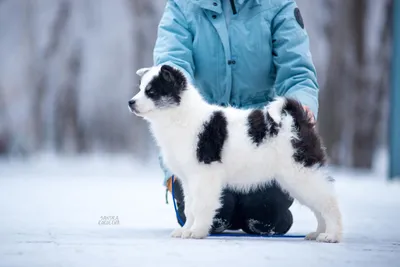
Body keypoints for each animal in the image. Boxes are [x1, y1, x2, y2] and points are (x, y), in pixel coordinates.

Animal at [130, 64, 342, 243]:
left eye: (151, 91)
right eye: (141, 88)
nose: (130, 102)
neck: (180, 116)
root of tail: (296, 119)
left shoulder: (204, 175)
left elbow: (200, 205)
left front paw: (196, 231)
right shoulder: (188, 179)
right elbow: (190, 207)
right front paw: (186, 230)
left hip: (302, 172)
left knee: (328, 202)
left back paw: (331, 235)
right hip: (295, 179)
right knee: (319, 206)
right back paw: (318, 233)